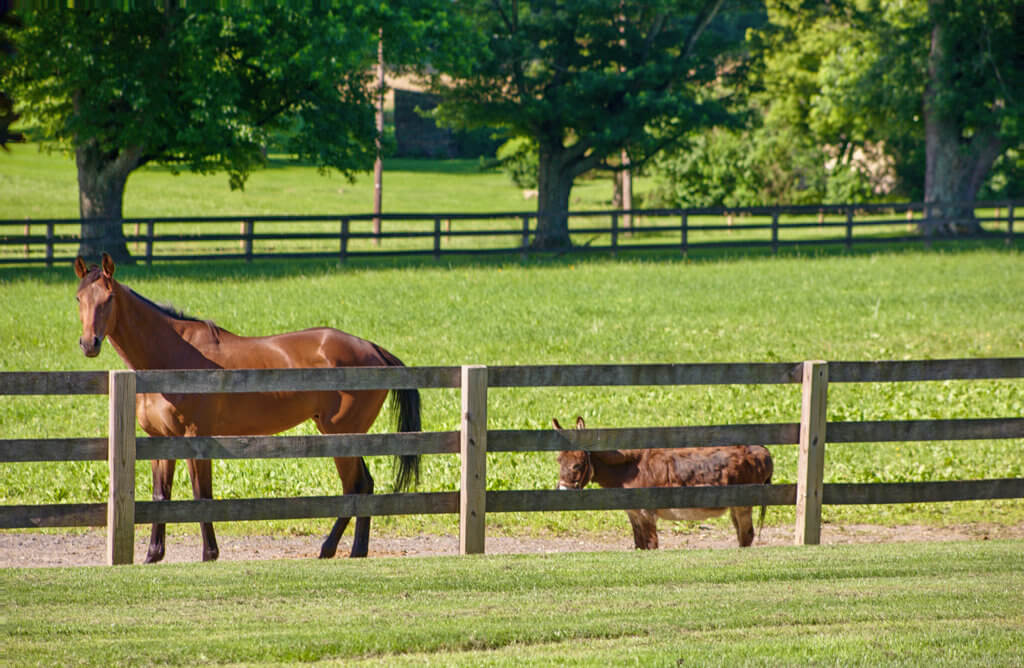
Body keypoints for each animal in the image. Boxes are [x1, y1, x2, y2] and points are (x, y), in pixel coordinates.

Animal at [74, 253, 421, 562]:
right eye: (79, 298)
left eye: (108, 298)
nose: (89, 344)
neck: (171, 357)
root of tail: (372, 348)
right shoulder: (161, 440)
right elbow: (162, 496)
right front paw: (152, 555)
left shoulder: (196, 439)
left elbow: (201, 495)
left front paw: (209, 554)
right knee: (363, 485)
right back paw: (348, 550)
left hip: (343, 435)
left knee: (356, 486)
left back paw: (337, 548)